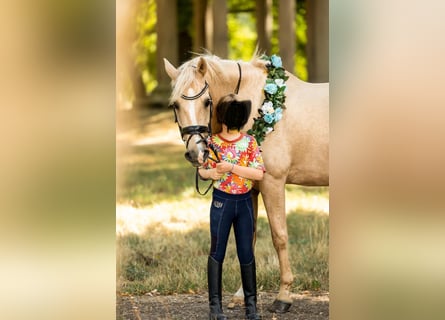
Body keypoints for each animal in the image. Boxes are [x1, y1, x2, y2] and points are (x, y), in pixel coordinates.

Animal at [163, 53, 326, 312]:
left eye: (207, 102)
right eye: (175, 105)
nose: (196, 153)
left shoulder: (272, 183)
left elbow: (279, 236)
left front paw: (283, 297)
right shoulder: (251, 191)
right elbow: (248, 239)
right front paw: (242, 295)